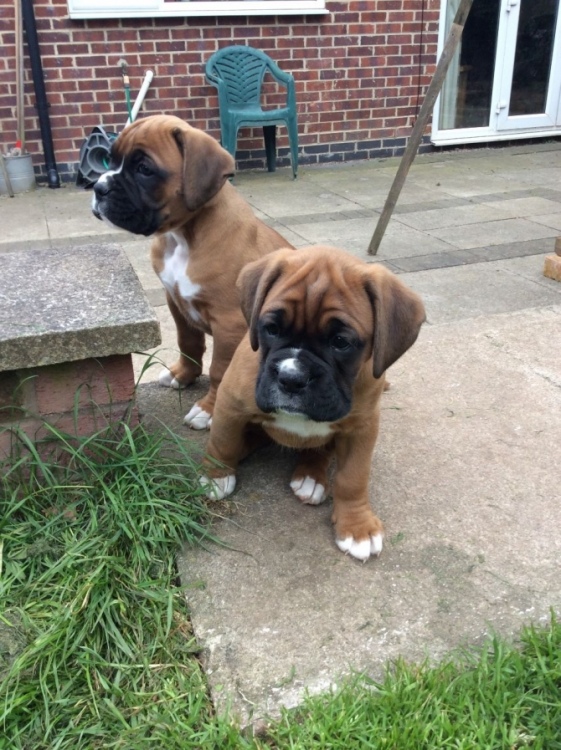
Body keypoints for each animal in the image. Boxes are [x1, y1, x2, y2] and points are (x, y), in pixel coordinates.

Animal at [91, 112, 294, 428]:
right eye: (109, 160)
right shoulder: (175, 301)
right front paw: (183, 375)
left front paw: (209, 410)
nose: (99, 188)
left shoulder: (229, 323)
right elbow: (187, 341)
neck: (183, 237)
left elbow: (220, 370)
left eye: (144, 169)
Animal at [201, 247, 424, 564]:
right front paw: (216, 477)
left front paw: (357, 526)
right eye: (271, 329)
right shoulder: (230, 404)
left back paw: (311, 476)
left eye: (341, 342)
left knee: (319, 451)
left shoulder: (362, 428)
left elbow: (353, 477)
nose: (291, 378)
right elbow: (223, 442)